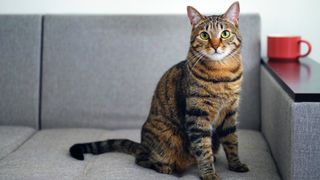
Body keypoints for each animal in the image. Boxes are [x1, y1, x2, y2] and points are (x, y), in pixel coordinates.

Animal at [70, 1, 249, 180]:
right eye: (204, 35)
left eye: (225, 33)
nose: (216, 45)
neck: (222, 74)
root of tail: (142, 144)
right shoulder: (197, 115)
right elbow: (203, 148)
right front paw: (209, 174)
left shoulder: (230, 113)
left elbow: (232, 141)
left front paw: (236, 164)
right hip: (167, 138)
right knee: (142, 159)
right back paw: (165, 168)